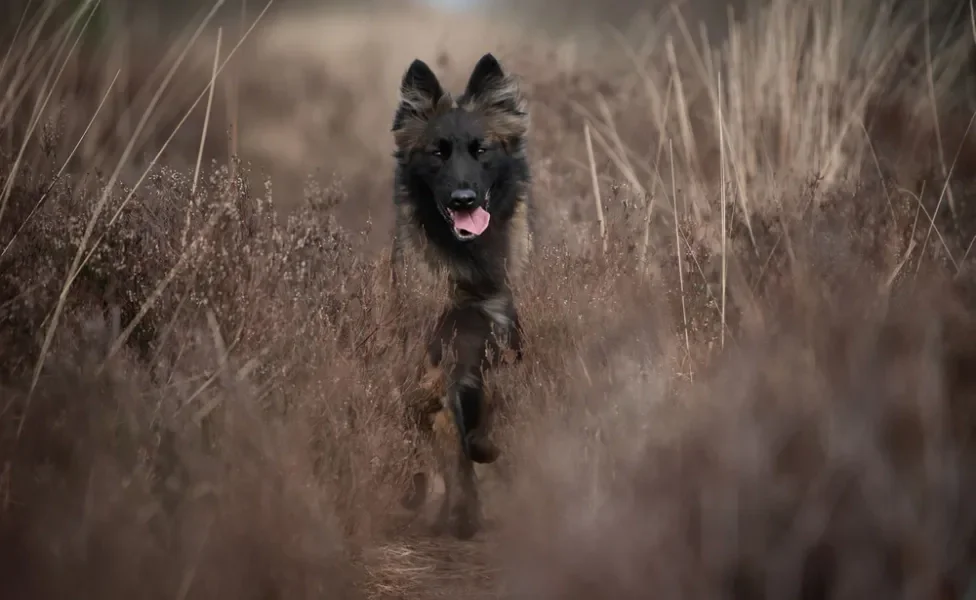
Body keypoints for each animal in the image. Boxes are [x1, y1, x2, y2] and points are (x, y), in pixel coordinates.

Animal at [388, 52, 532, 540]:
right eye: (437, 153)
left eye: (481, 150)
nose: (464, 199)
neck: (466, 268)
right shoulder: (432, 366)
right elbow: (451, 440)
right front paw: (463, 512)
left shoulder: (498, 338)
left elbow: (491, 402)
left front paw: (486, 443)